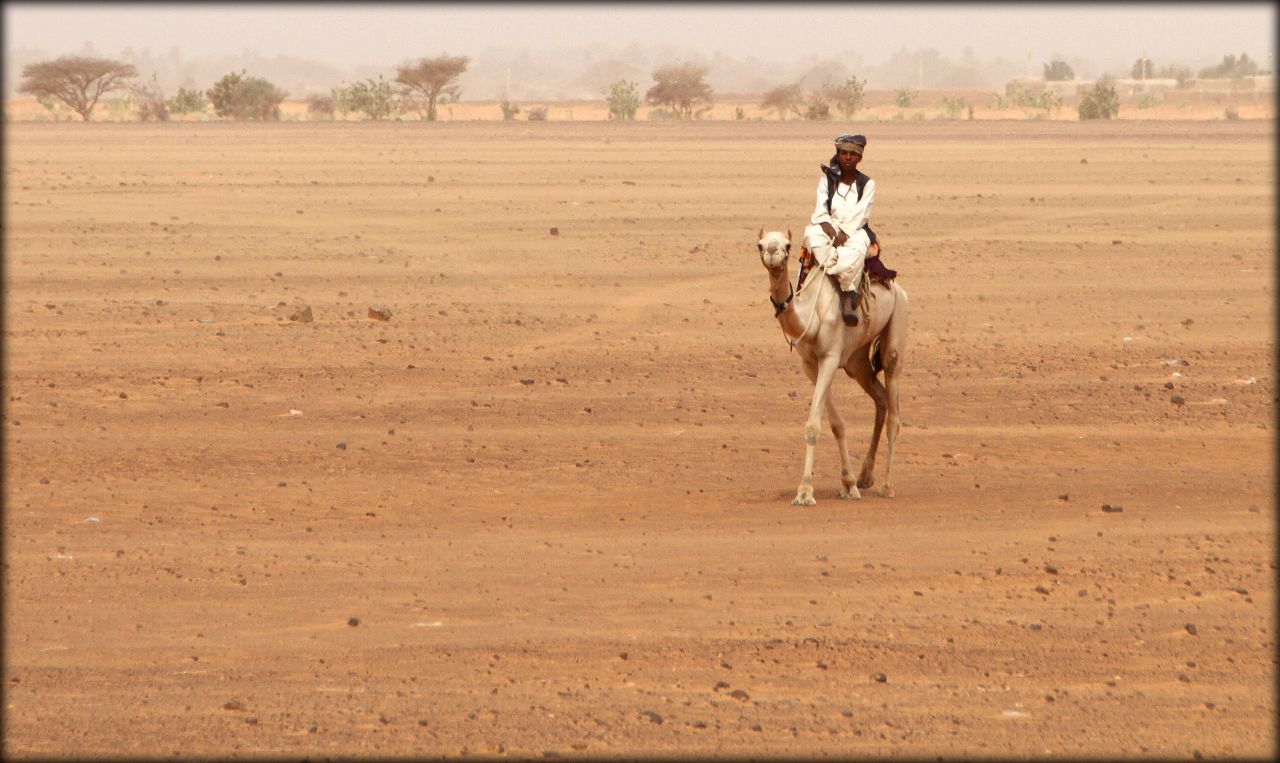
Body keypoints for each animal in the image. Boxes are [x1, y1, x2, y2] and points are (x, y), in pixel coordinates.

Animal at [757, 229, 911, 504]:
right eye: (759, 245)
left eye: (788, 245)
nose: (773, 252)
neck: (813, 317)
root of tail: (898, 288)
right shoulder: (811, 364)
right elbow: (836, 424)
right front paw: (849, 484)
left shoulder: (829, 357)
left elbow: (813, 425)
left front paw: (805, 491)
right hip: (856, 361)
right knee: (881, 398)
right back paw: (865, 477)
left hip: (897, 321)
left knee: (894, 409)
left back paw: (886, 486)